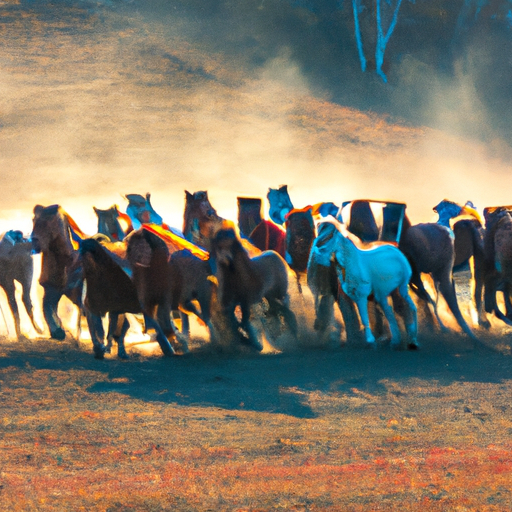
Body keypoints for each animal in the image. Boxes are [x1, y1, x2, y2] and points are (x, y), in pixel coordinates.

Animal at [316, 218, 420, 350]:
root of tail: (395, 248)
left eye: (330, 235)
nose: (318, 250)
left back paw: (410, 340)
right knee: (393, 310)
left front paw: (370, 341)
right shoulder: (353, 297)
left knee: (405, 308)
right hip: (386, 293)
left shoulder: (361, 296)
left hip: (396, 290)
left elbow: (364, 318)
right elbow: (355, 317)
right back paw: (399, 341)